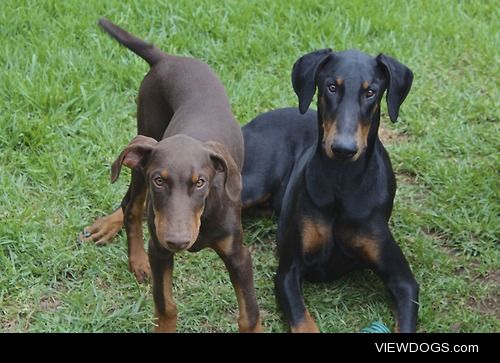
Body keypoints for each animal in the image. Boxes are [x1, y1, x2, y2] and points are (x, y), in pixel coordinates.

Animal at [85, 19, 266, 332]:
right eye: (159, 180)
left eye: (201, 182)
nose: (178, 241)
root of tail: (165, 58)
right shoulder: (159, 250)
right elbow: (165, 305)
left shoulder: (238, 254)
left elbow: (249, 315)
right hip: (143, 144)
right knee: (130, 206)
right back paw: (137, 261)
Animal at [241, 49, 418, 334]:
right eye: (331, 87)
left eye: (371, 92)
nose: (343, 149)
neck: (341, 181)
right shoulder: (288, 272)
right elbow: (303, 321)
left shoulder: (404, 281)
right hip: (255, 179)